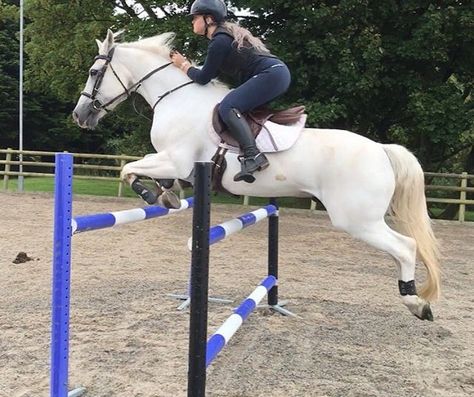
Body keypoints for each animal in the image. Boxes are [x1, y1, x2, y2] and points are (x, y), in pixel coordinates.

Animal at [73, 30, 440, 318]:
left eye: (93, 72)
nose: (79, 115)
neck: (177, 99)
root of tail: (381, 149)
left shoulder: (176, 160)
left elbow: (128, 170)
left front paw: (154, 194)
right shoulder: (175, 165)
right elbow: (148, 173)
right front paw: (166, 194)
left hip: (357, 220)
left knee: (405, 247)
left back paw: (415, 303)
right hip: (363, 220)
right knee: (402, 249)